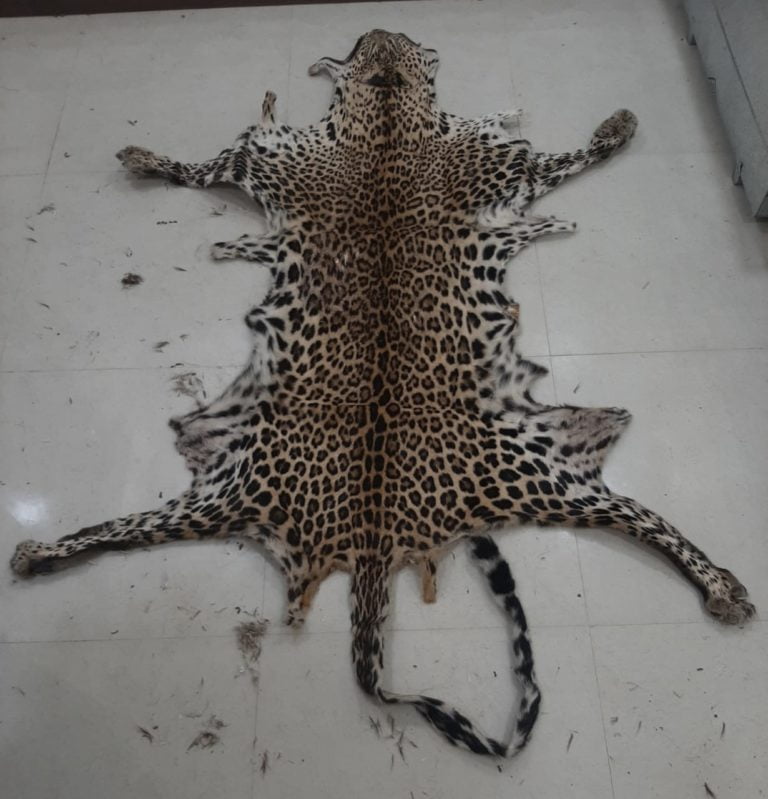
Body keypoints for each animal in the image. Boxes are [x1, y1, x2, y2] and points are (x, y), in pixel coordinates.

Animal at [10, 30, 755, 758]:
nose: (381, 28)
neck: (387, 121)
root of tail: (371, 540)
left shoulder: (484, 165)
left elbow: (573, 155)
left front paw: (616, 127)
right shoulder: (266, 157)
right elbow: (196, 167)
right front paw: (142, 156)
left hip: (536, 474)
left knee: (649, 520)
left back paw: (723, 587)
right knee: (119, 530)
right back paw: (39, 553)